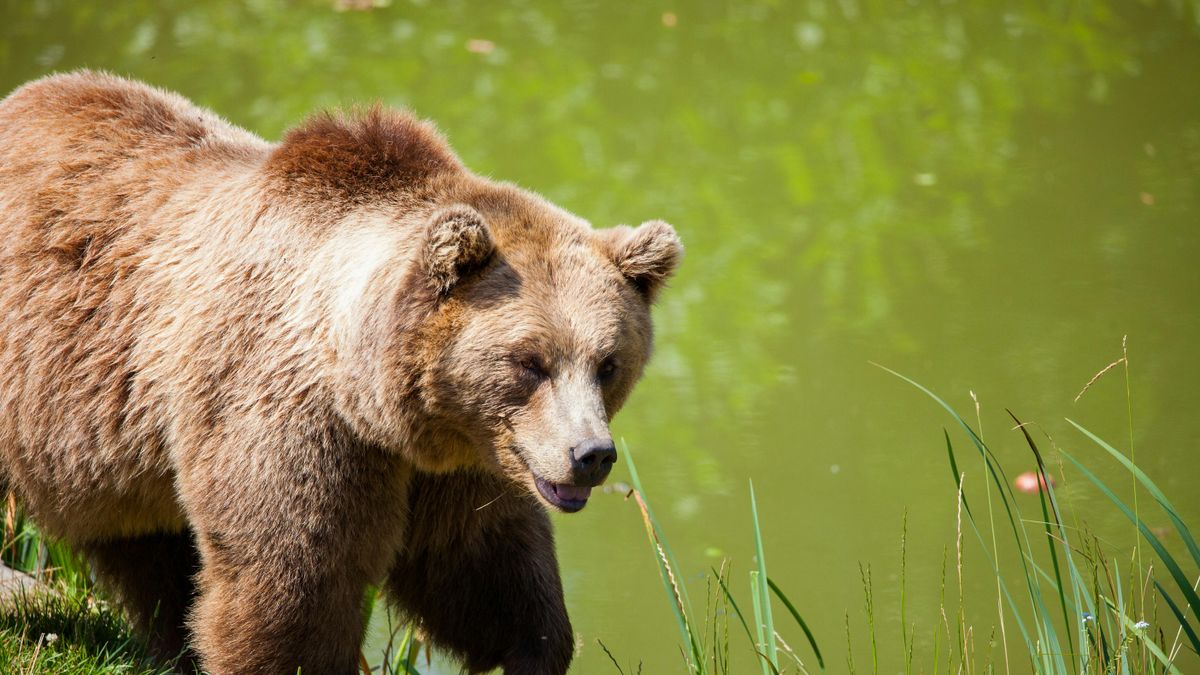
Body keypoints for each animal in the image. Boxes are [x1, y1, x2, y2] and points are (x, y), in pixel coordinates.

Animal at [0, 70, 681, 667]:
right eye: (530, 362)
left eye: (608, 363)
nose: (590, 454)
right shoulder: (287, 416)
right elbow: (293, 581)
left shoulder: (464, 458)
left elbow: (480, 561)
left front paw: (535, 648)